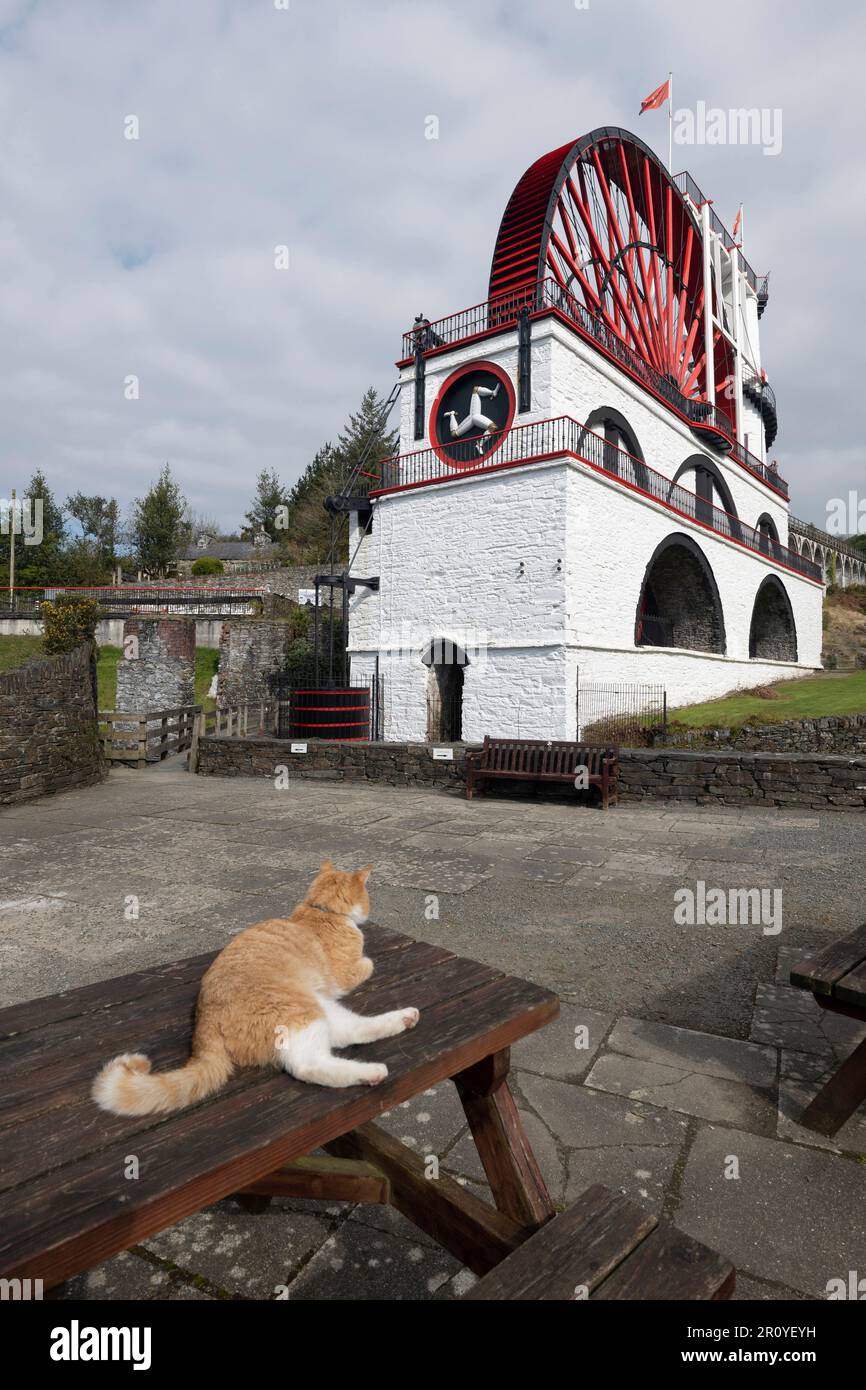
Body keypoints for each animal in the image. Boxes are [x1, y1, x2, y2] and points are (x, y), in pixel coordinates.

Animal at [93, 856, 419, 1117]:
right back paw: (372, 1071)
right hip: (301, 1011)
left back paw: (405, 1018)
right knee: (310, 1065)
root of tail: (204, 1022)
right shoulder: (347, 974)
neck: (321, 910)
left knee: (350, 1031)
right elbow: (369, 963)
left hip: (318, 1006)